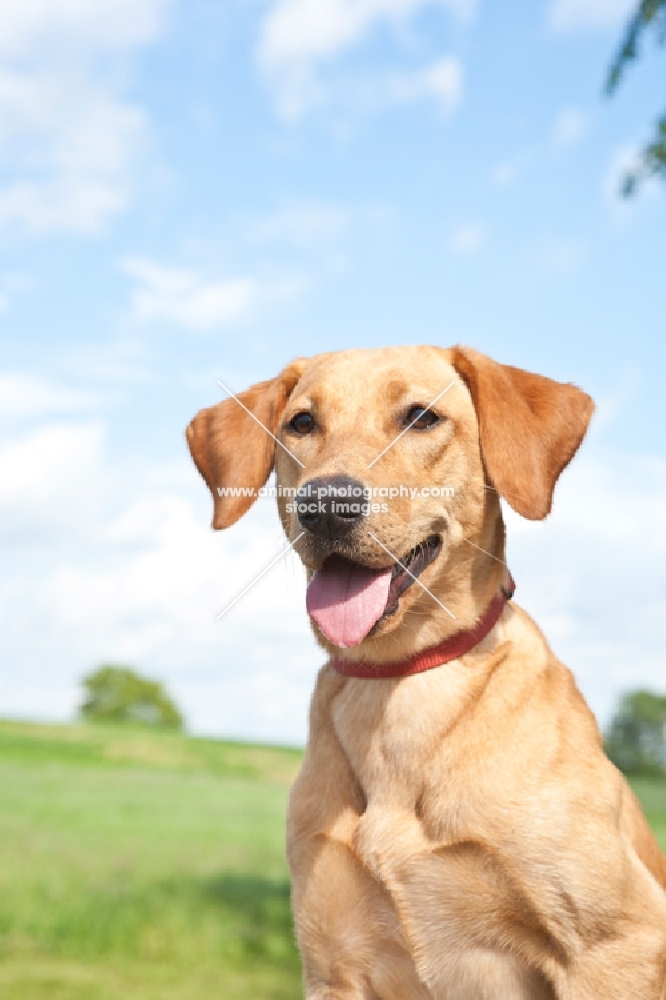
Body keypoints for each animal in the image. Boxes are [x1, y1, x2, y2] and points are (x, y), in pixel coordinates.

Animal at [188, 344, 664, 1000]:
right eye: (302, 423)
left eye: (421, 417)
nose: (325, 507)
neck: (400, 682)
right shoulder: (333, 965)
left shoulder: (616, 947)